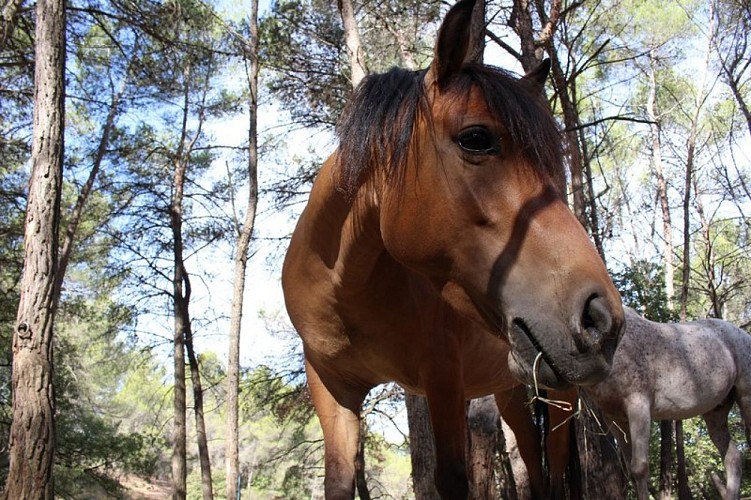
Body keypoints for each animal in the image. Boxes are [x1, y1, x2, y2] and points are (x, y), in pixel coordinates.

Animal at [281, 0, 625, 497]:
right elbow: (340, 480)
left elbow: (452, 479)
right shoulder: (331, 388)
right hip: (510, 388)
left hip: (560, 394)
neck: (347, 289)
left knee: (554, 470)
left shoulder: (443, 379)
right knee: (533, 462)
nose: (601, 318)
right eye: (476, 138)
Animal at [582, 307, 751, 500]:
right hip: (716, 413)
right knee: (733, 458)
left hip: (746, 398)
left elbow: (639, 468)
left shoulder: (638, 406)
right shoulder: (614, 418)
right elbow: (632, 471)